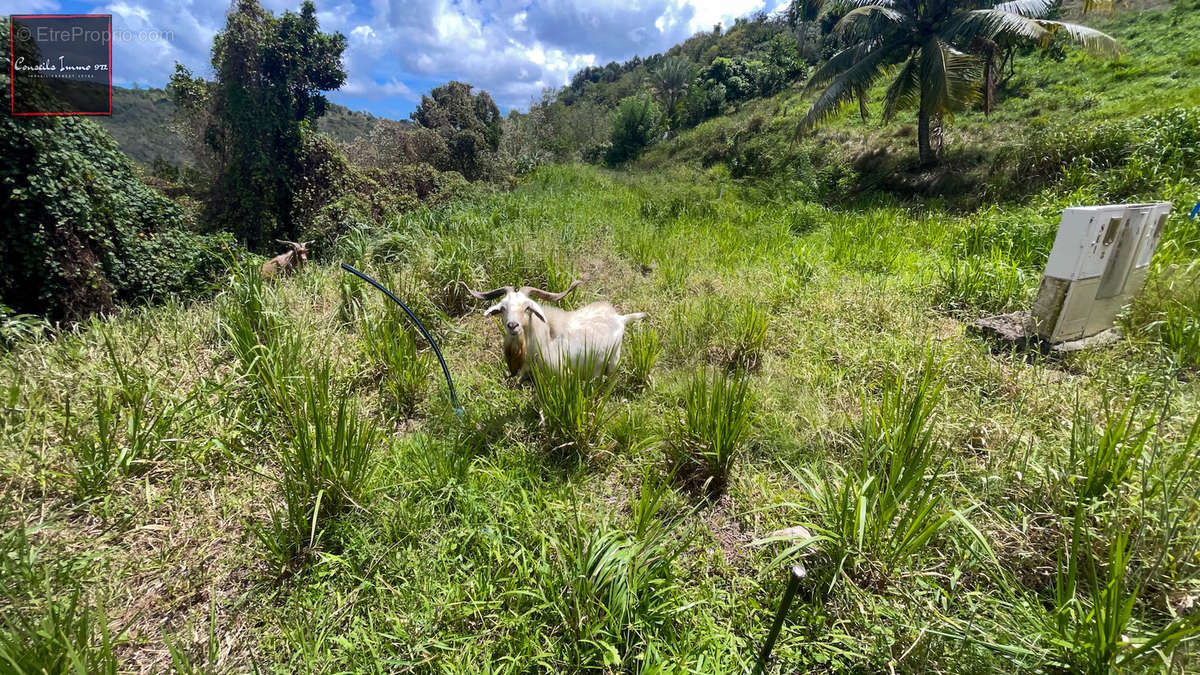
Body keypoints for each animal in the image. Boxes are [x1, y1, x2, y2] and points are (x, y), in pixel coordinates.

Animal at [463, 278, 648, 379]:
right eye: (502, 308)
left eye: (527, 307)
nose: (513, 326)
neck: (545, 337)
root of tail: (620, 318)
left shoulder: (562, 373)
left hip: (613, 360)